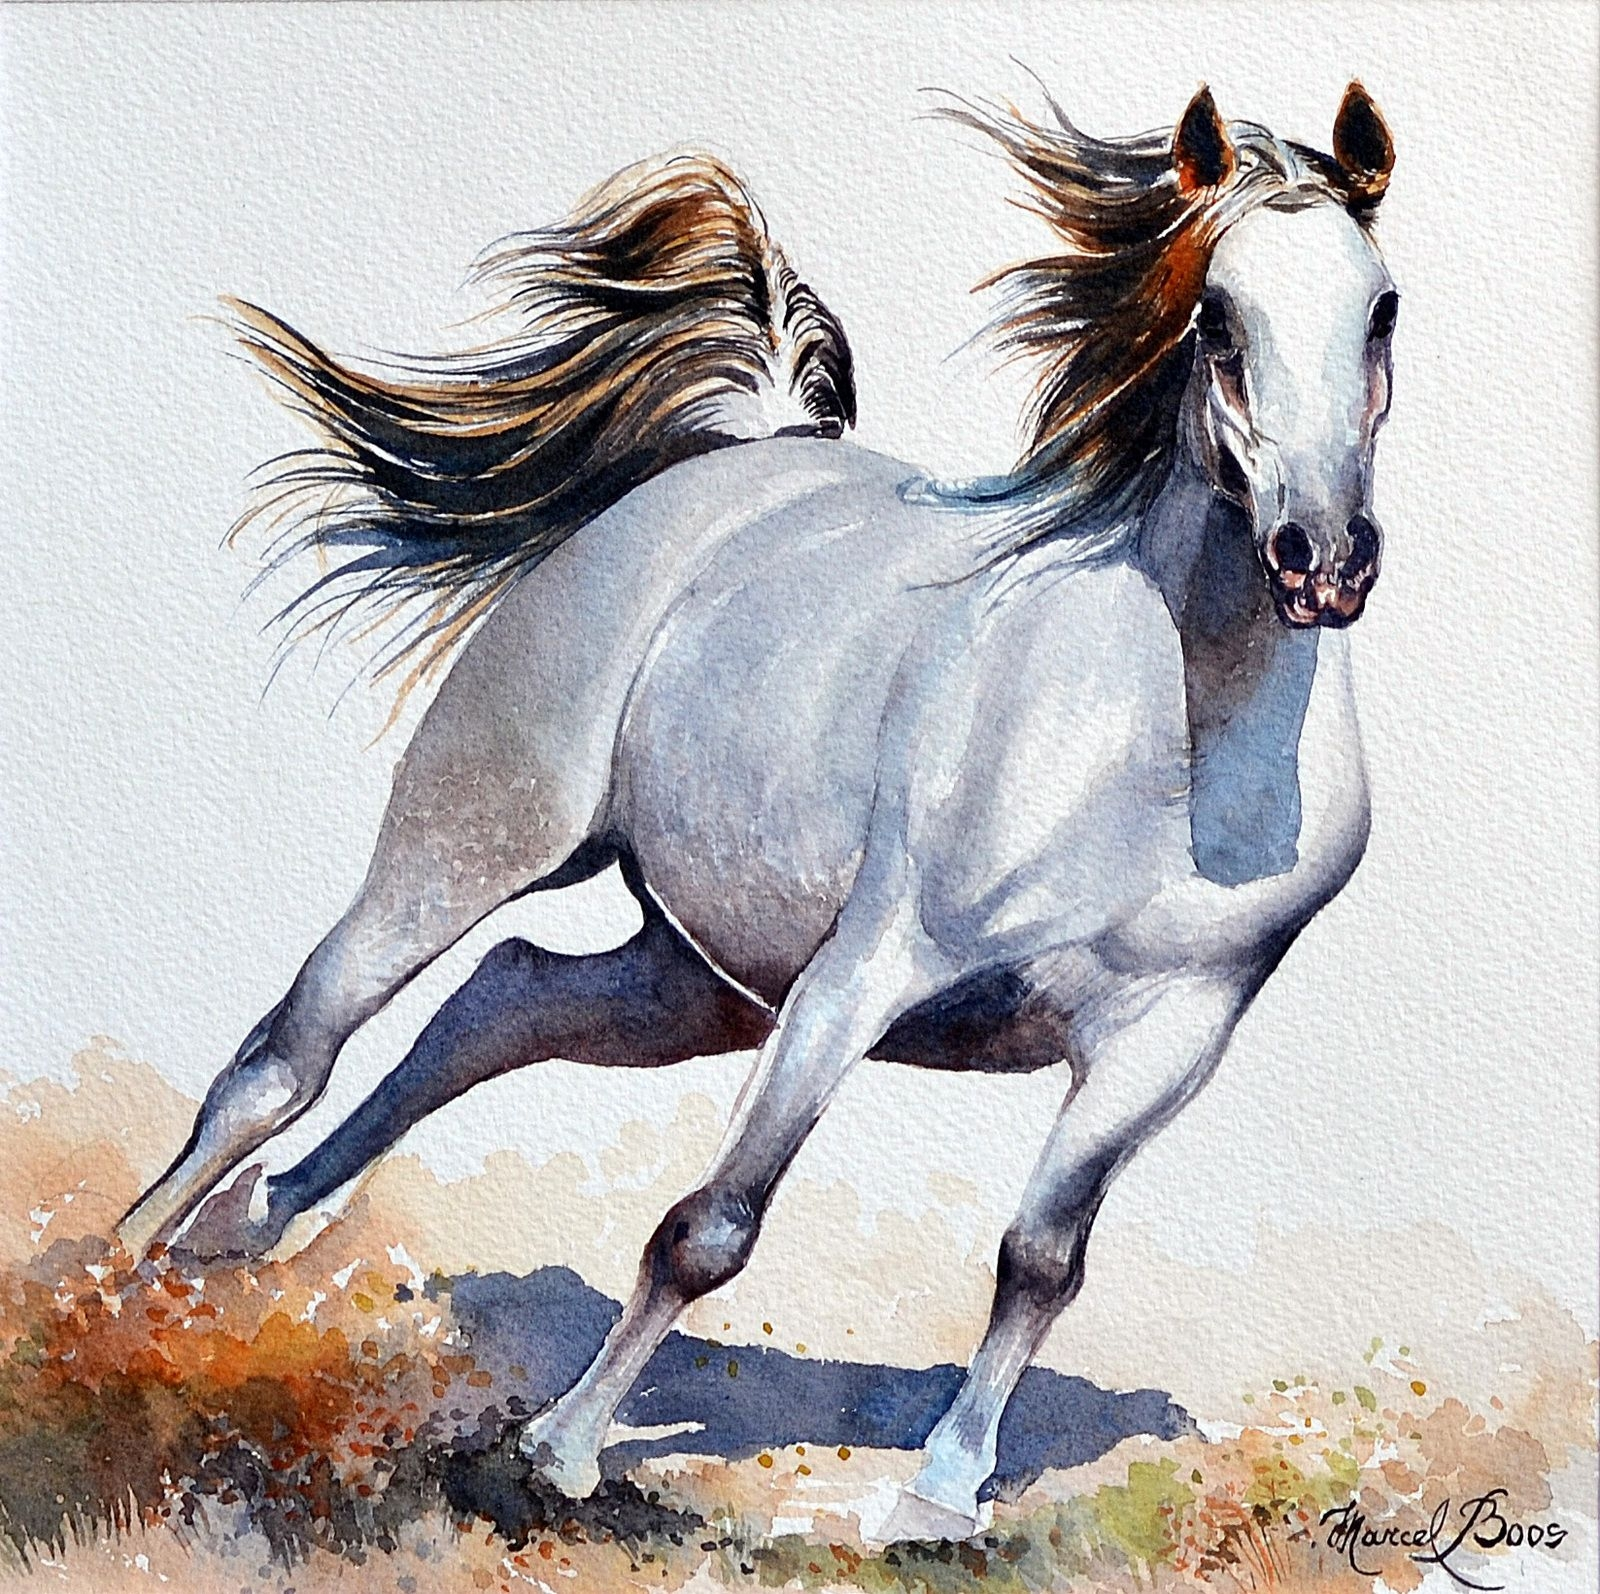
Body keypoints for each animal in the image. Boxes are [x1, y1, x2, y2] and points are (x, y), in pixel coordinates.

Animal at [118, 79, 1398, 1543]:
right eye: (1219, 317)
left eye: (1382, 308)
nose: (1322, 558)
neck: (1159, 746)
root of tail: (753, 454)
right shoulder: (862, 975)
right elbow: (711, 1226)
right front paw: (557, 1451)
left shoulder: (1165, 1040)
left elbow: (1041, 1257)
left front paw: (941, 1499)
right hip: (479, 839)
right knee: (291, 1050)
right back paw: (109, 1274)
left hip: (699, 981)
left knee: (498, 1002)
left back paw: (247, 1232)